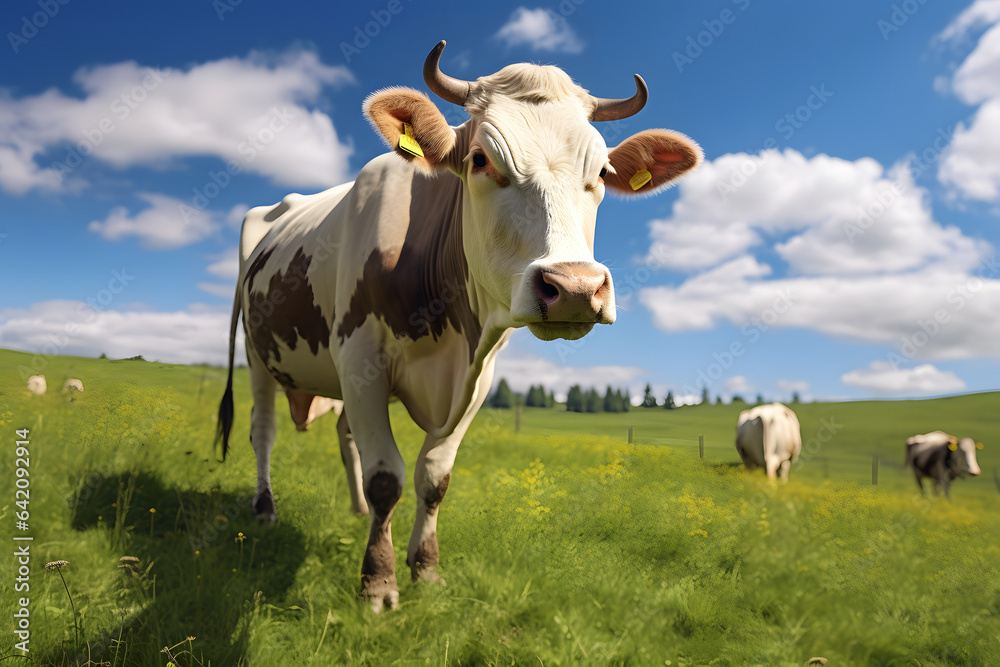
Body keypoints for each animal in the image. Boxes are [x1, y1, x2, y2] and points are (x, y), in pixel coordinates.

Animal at [219, 40, 704, 612]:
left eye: (604, 172)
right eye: (480, 159)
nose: (575, 287)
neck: (452, 338)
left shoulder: (476, 381)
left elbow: (434, 477)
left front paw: (425, 569)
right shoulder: (360, 361)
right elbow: (388, 477)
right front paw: (379, 583)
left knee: (343, 434)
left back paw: (356, 511)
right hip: (258, 356)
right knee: (263, 431)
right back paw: (266, 509)